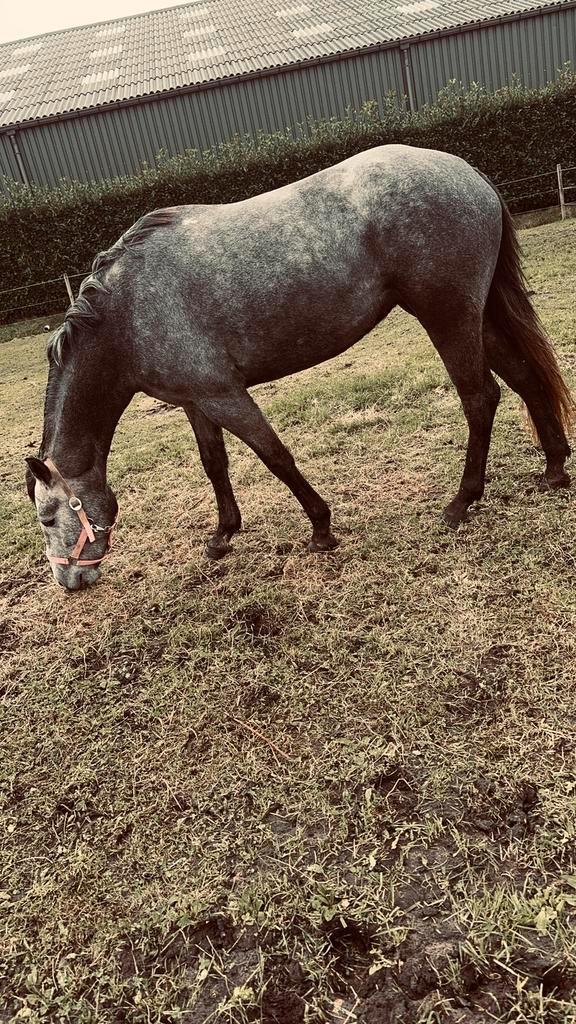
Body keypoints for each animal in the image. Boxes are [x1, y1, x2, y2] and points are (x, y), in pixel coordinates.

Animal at [26, 144, 574, 591]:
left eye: (49, 519)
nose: (69, 582)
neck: (128, 312)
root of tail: (465, 170)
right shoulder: (196, 402)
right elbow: (214, 464)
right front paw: (223, 535)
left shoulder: (225, 396)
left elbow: (276, 457)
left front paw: (321, 528)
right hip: (477, 316)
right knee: (524, 378)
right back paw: (553, 470)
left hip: (449, 317)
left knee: (480, 397)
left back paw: (462, 502)